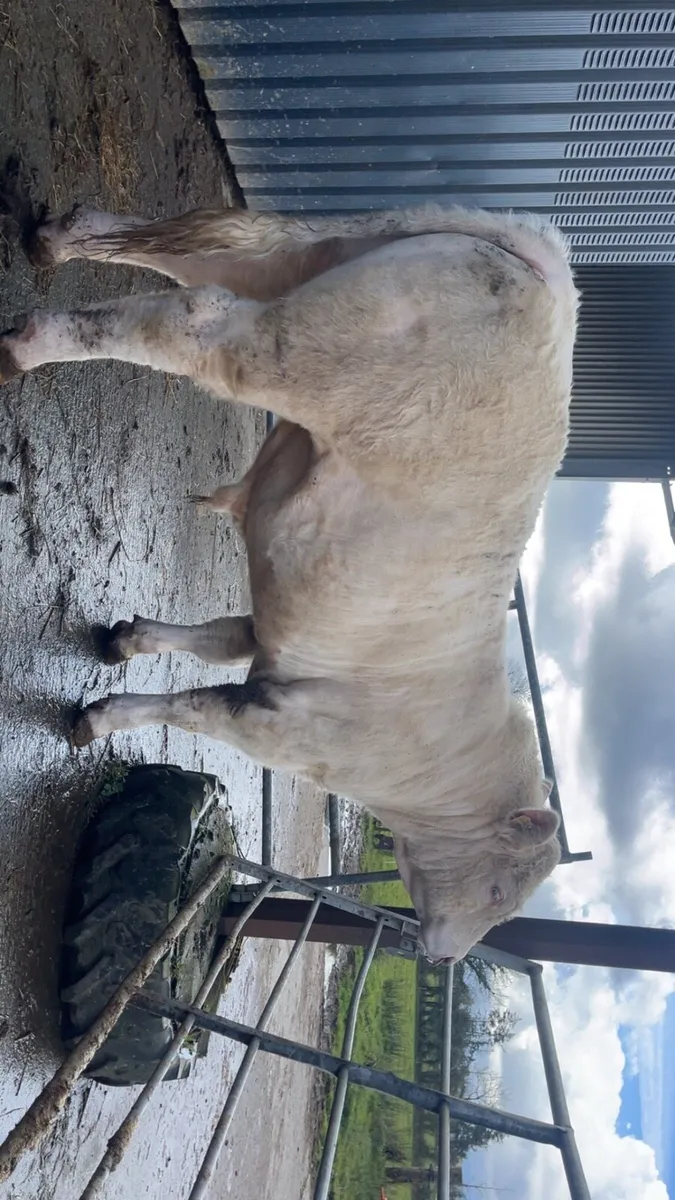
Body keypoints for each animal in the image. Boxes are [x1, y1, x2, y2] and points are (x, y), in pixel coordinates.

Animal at [0, 202, 579, 963]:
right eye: (496, 892)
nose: (444, 956)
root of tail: (551, 281)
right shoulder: (283, 730)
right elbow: (193, 706)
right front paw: (100, 719)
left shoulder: (271, 639)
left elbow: (215, 639)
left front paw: (126, 641)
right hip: (296, 351)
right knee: (200, 318)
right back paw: (27, 346)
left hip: (311, 268)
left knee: (207, 258)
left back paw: (54, 242)